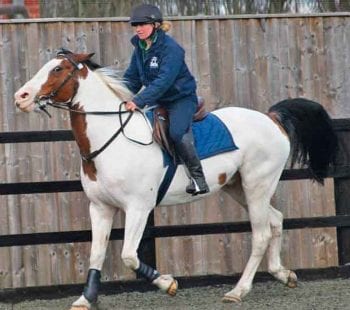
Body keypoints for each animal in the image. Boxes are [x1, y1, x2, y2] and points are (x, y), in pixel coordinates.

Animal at [14, 50, 340, 308]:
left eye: (57, 69)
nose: (21, 97)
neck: (112, 139)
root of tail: (271, 118)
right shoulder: (101, 208)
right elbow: (96, 254)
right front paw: (86, 298)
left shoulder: (138, 208)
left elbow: (129, 255)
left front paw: (167, 283)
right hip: (239, 188)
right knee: (275, 220)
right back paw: (283, 274)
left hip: (256, 186)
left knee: (260, 233)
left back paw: (238, 291)